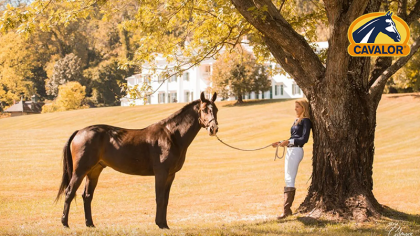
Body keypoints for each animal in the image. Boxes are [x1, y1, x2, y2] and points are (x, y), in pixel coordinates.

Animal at [55, 91, 218, 229]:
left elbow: (165, 199)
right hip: (80, 171)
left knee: (87, 196)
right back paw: (65, 223)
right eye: (204, 110)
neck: (171, 135)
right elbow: (160, 198)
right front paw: (159, 224)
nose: (213, 128)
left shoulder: (171, 175)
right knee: (69, 192)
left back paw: (90, 224)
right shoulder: (161, 173)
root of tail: (80, 132)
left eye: (215, 110)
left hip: (94, 172)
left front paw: (165, 224)